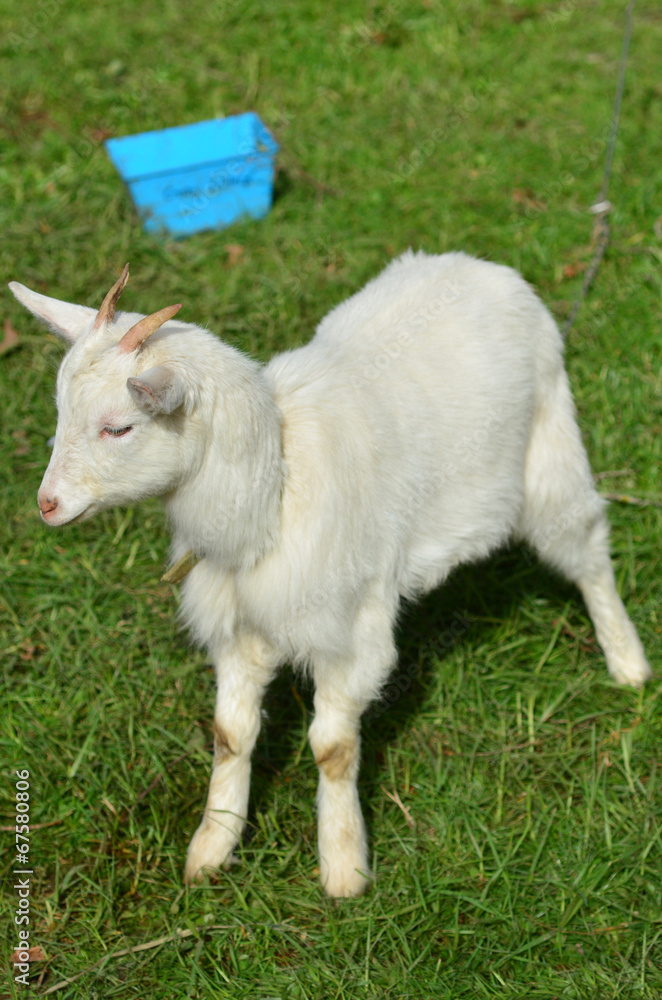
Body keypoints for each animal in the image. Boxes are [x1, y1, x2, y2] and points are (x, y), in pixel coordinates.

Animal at [10, 251, 651, 897]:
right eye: (62, 411)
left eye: (120, 427)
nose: (46, 505)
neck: (272, 485)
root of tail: (482, 266)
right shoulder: (238, 626)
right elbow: (230, 735)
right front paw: (212, 849)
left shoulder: (350, 628)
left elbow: (333, 749)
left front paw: (344, 867)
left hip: (550, 447)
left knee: (589, 551)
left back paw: (628, 662)